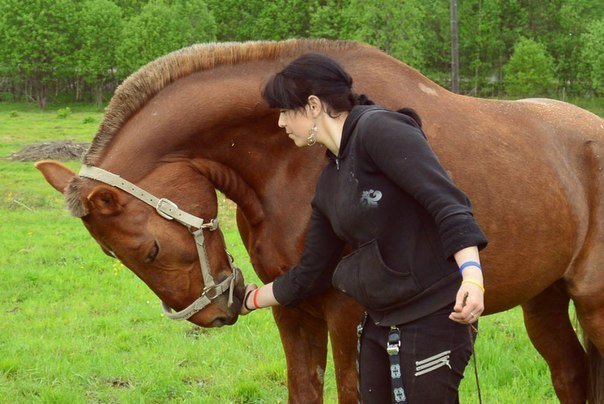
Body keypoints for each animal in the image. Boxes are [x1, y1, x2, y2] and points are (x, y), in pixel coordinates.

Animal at [36, 38, 604, 404]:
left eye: (148, 251)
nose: (214, 313)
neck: (292, 162)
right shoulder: (294, 310)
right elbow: (302, 388)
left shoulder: (347, 317)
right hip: (544, 300)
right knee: (572, 374)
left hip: (593, 304)